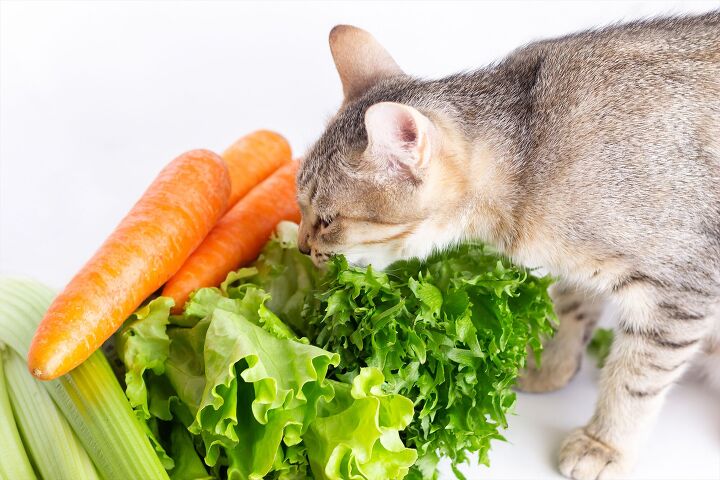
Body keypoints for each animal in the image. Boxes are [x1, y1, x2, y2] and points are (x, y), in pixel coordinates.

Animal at [294, 13, 720, 480]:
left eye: (328, 221)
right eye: (300, 204)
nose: (300, 247)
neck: (529, 154)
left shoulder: (680, 290)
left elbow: (633, 380)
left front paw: (604, 443)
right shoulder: (583, 268)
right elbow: (571, 311)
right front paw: (549, 366)